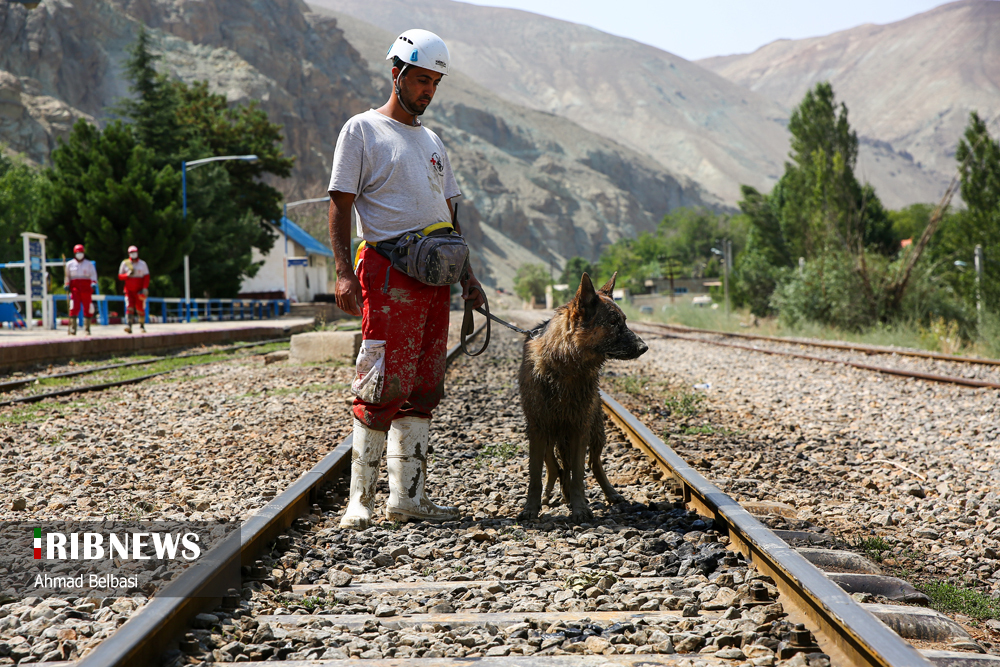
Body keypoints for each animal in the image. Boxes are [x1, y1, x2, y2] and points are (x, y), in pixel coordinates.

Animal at [520, 272, 652, 520]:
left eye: (624, 320)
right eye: (613, 323)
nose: (644, 347)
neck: (565, 366)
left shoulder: (579, 428)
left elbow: (579, 473)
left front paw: (580, 507)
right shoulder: (538, 428)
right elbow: (535, 475)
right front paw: (531, 508)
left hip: (595, 431)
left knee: (593, 463)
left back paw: (608, 493)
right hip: (550, 434)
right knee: (555, 466)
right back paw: (553, 494)